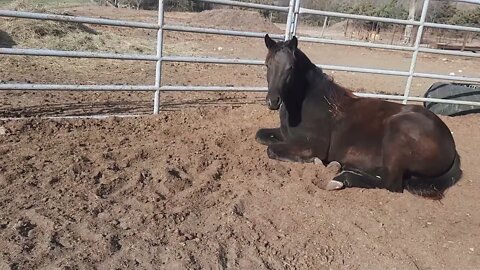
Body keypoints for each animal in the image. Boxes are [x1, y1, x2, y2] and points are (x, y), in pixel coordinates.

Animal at [256, 33, 464, 199]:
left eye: (290, 67)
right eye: (267, 65)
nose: (273, 101)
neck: (307, 103)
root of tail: (451, 143)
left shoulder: (313, 145)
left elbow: (272, 150)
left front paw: (316, 162)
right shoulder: (285, 135)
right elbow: (260, 136)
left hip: (397, 137)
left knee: (391, 183)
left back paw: (341, 178)